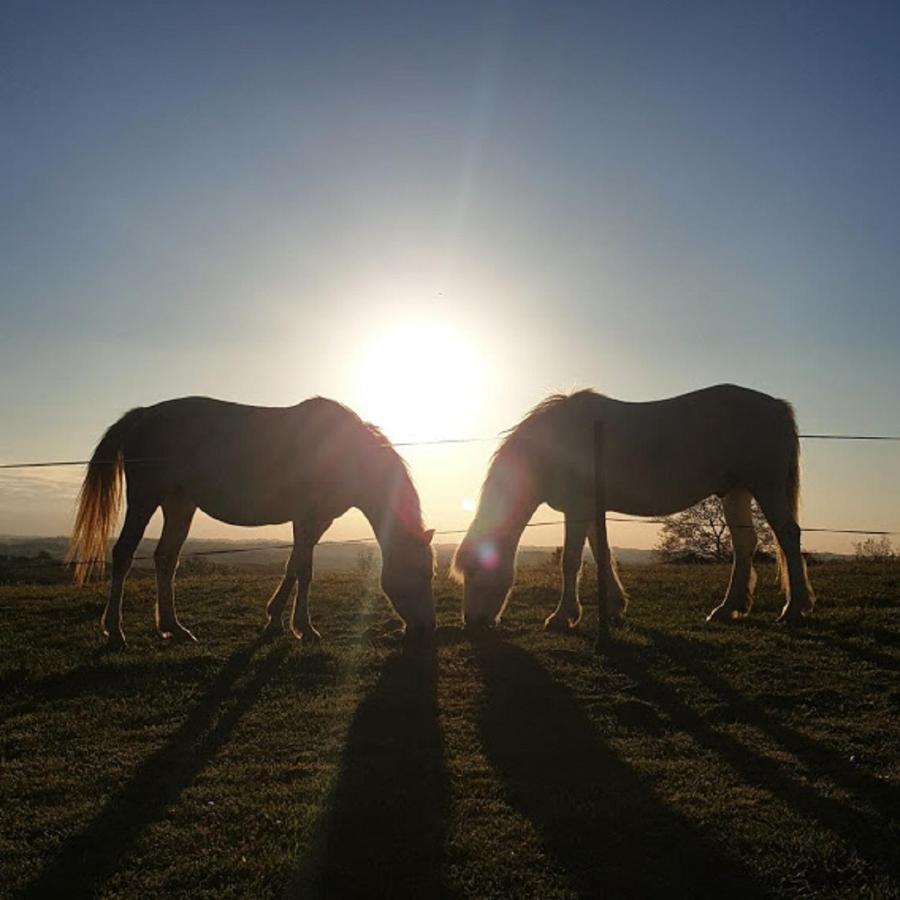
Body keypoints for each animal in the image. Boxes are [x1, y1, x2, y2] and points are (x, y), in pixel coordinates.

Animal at [67, 398, 436, 644]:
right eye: (421, 573)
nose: (427, 628)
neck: (345, 453)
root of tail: (142, 415)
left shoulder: (318, 522)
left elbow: (293, 566)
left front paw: (275, 620)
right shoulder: (307, 517)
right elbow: (305, 570)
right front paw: (305, 628)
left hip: (180, 505)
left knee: (165, 559)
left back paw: (173, 627)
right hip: (145, 500)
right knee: (124, 554)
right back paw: (115, 630)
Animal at [454, 386, 812, 632]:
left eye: (475, 572)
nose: (472, 622)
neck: (555, 444)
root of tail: (777, 406)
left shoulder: (578, 508)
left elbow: (571, 562)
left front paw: (561, 617)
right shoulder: (592, 510)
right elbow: (601, 554)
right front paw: (614, 606)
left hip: (766, 487)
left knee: (787, 535)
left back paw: (794, 609)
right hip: (735, 492)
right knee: (744, 545)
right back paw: (727, 609)